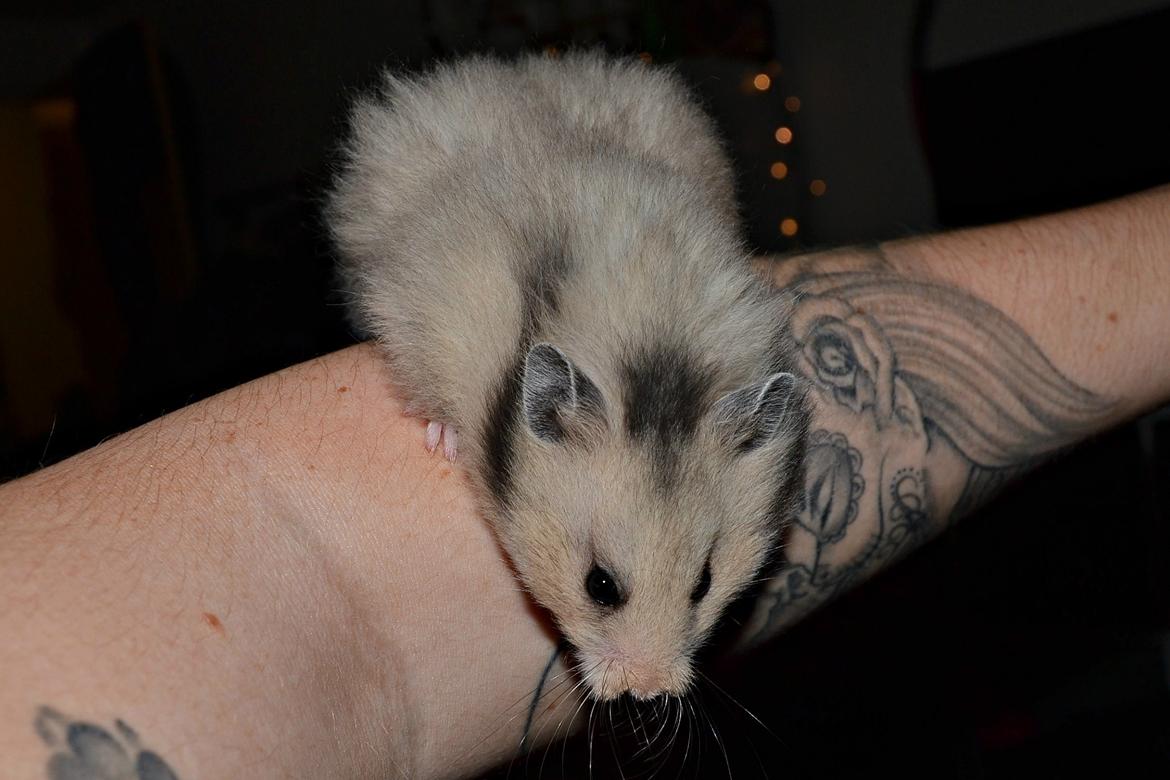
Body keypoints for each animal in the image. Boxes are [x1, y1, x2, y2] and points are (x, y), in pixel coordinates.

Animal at [327, 51, 808, 701]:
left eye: (703, 582)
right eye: (598, 584)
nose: (646, 691)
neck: (650, 330)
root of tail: (526, 64)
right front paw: (444, 440)